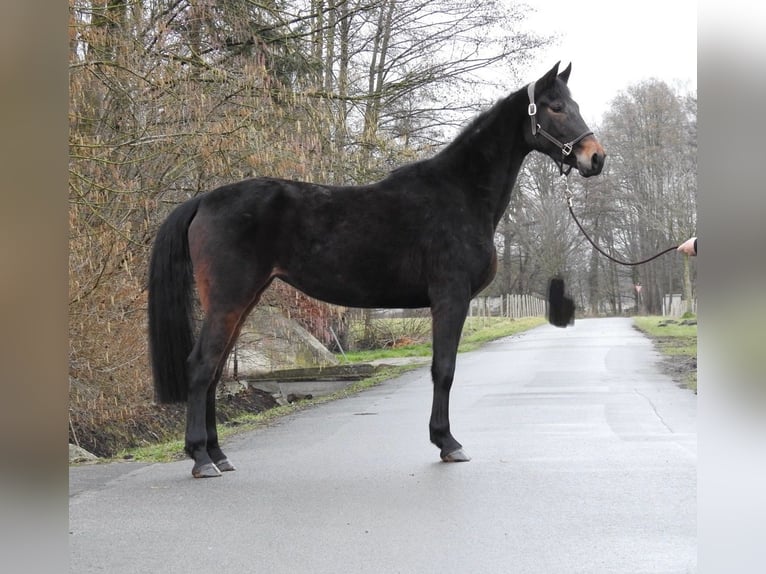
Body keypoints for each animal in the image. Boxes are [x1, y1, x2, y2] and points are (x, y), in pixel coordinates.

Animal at [148, 60, 608, 480]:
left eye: (573, 104)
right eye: (555, 107)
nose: (596, 157)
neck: (459, 193)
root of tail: (204, 200)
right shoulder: (450, 298)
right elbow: (444, 370)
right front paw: (447, 443)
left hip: (242, 301)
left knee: (215, 370)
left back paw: (218, 454)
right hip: (230, 298)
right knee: (202, 366)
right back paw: (202, 459)